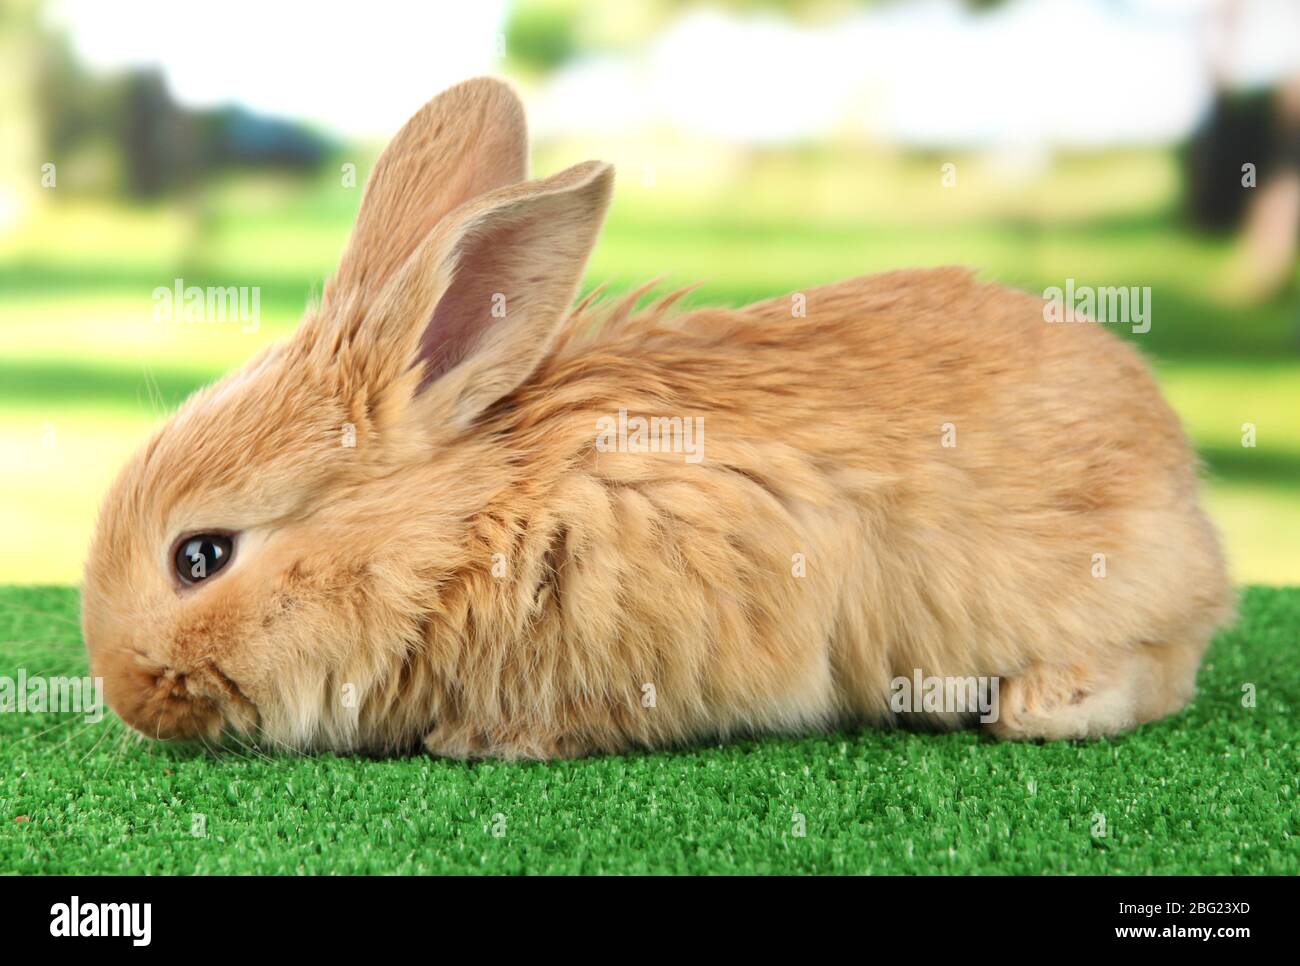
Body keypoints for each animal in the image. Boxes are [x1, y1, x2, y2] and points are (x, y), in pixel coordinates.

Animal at [81, 77, 1233, 759]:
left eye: (200, 557)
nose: (128, 694)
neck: (471, 523)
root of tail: (1190, 501)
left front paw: (486, 742)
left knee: (1163, 669)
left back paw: (1037, 704)